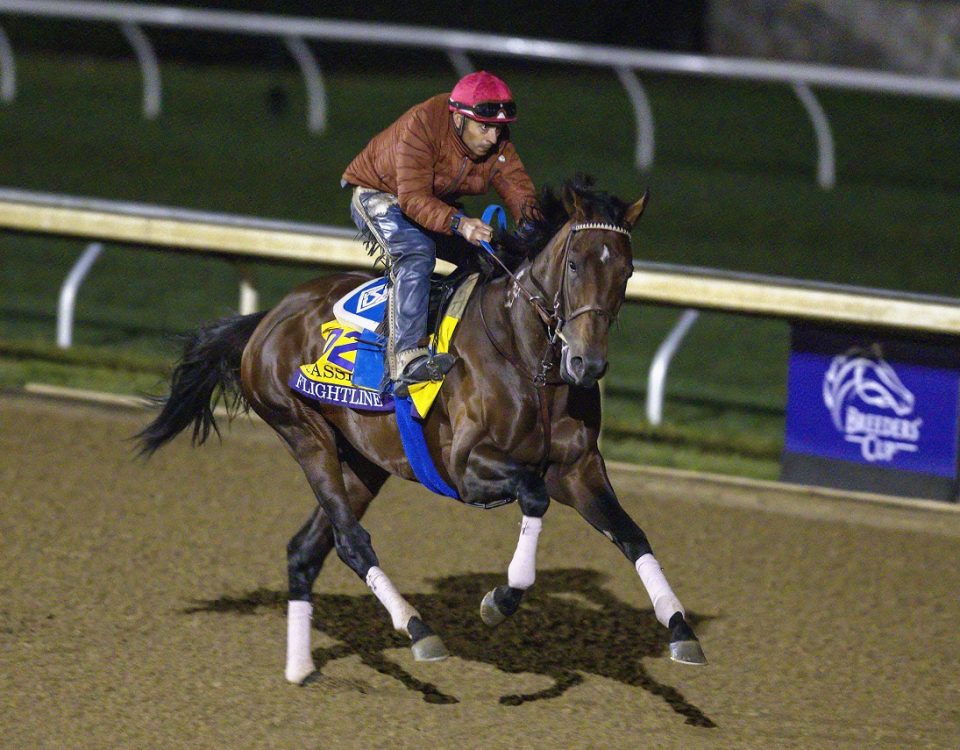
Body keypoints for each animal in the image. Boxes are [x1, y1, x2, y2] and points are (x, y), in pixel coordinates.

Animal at [137, 178, 704, 688]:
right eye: (573, 264)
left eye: (626, 270)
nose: (587, 363)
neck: (525, 359)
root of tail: (267, 319)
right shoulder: (466, 469)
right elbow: (534, 497)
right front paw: (501, 599)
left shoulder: (579, 468)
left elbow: (632, 534)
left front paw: (680, 628)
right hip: (303, 431)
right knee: (351, 542)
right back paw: (416, 629)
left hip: (363, 461)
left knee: (305, 549)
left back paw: (301, 670)